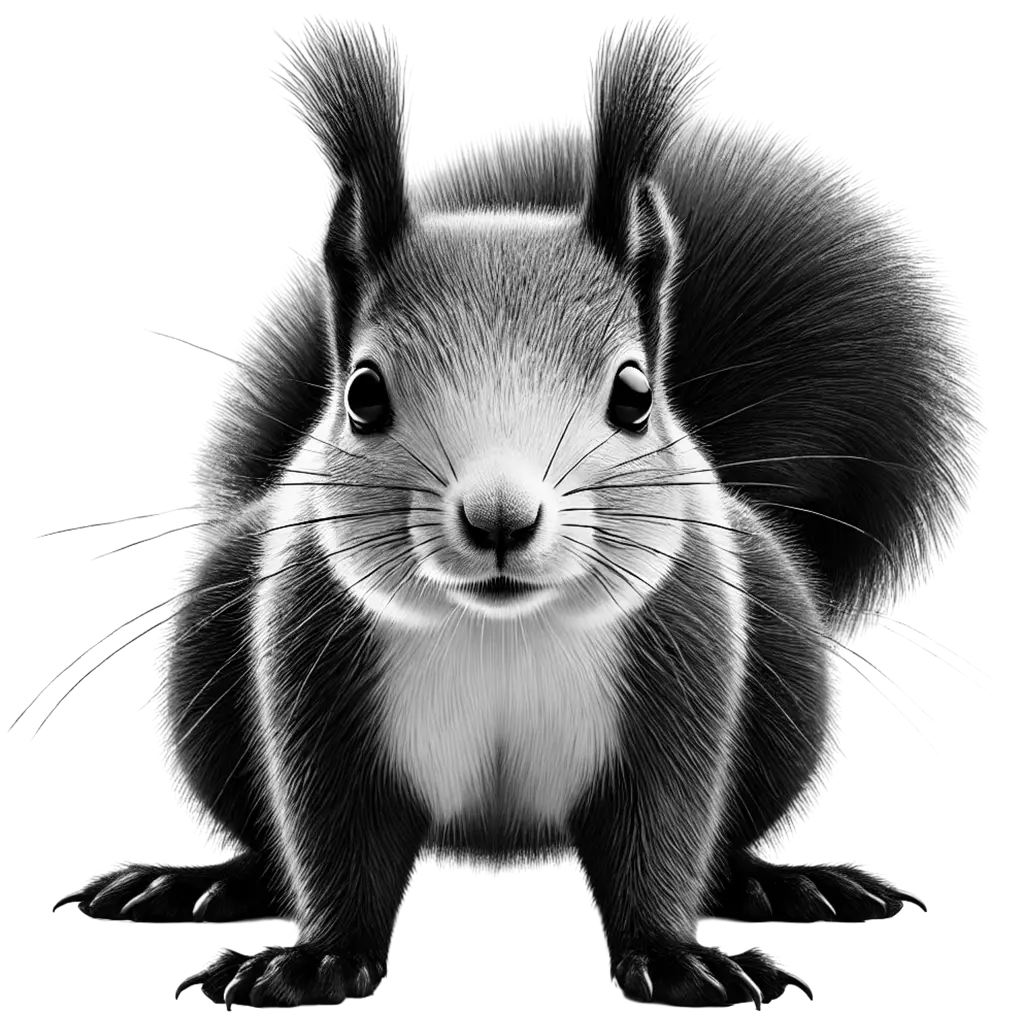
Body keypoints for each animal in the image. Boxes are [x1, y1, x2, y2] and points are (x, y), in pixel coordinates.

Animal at [46, 11, 980, 1012]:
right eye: (362, 394)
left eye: (635, 395)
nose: (500, 520)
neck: (500, 630)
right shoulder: (307, 656)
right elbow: (333, 834)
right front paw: (316, 959)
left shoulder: (687, 654)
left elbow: (662, 828)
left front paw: (673, 955)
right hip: (205, 656)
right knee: (260, 834)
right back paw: (202, 880)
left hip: (791, 679)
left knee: (733, 832)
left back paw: (778, 881)